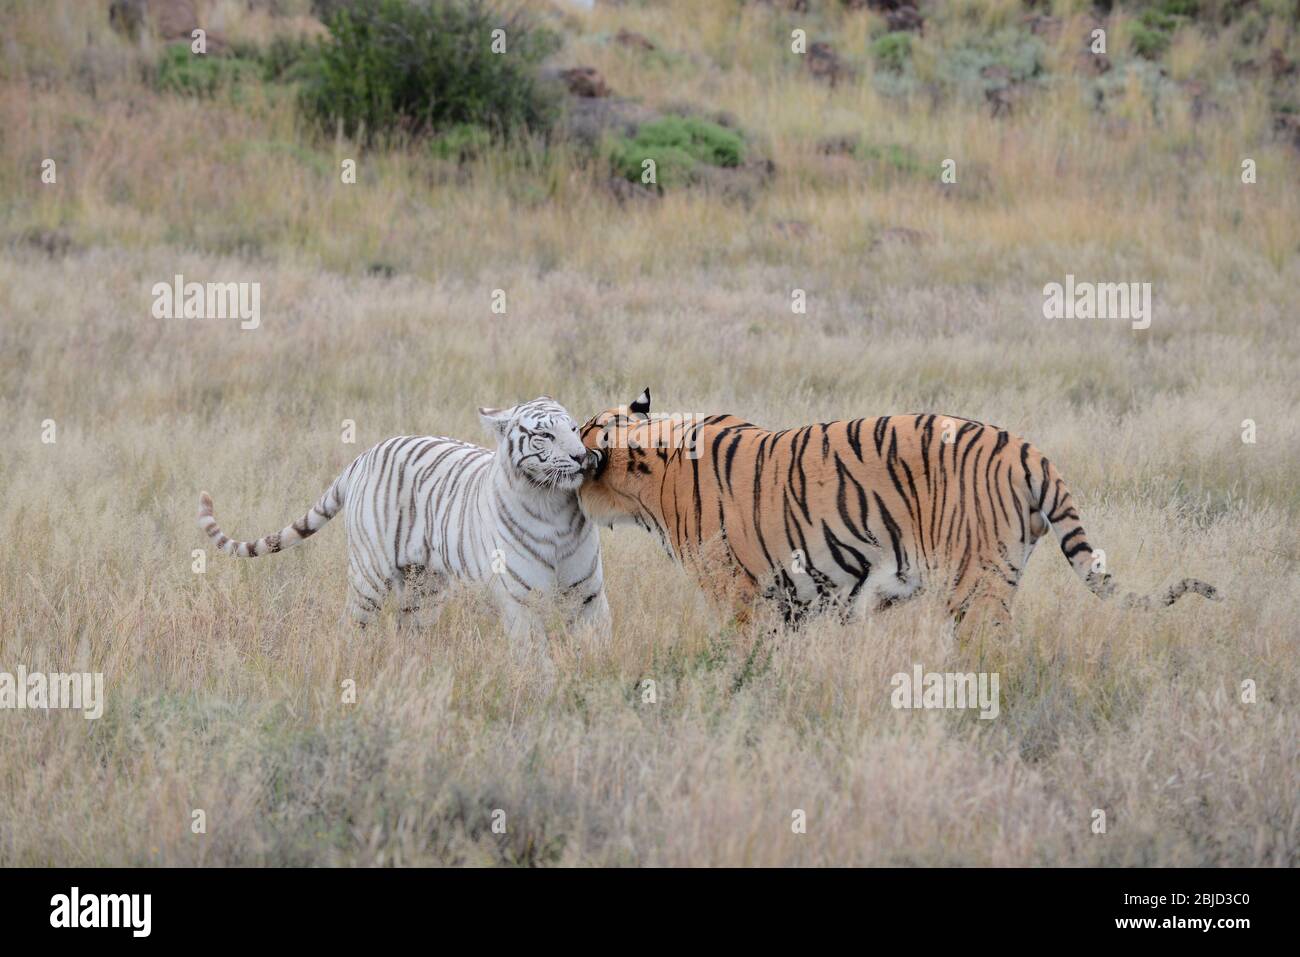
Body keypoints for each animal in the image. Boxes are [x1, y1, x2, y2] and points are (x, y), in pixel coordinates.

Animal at [198, 397, 610, 662]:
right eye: (545, 436)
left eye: (575, 429)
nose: (581, 457)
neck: (553, 506)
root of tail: (363, 455)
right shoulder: (523, 599)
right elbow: (535, 656)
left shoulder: (587, 593)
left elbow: (595, 643)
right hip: (369, 576)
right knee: (352, 625)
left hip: (424, 587)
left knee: (409, 631)